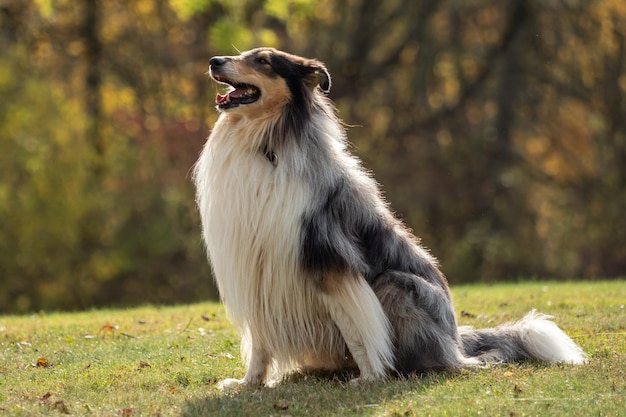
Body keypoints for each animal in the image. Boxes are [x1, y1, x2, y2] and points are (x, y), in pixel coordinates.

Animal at [191, 48, 584, 386]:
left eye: (263, 60)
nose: (213, 61)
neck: (264, 143)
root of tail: (457, 340)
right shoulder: (256, 268)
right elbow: (260, 341)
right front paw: (249, 384)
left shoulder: (330, 260)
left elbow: (358, 329)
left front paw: (369, 379)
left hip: (396, 285)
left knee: (447, 361)